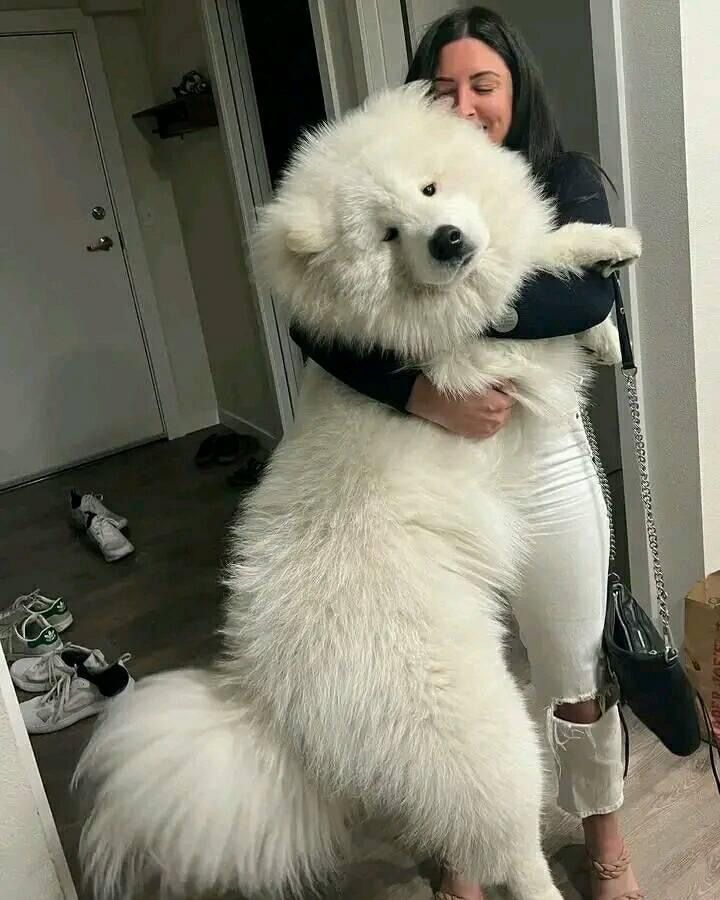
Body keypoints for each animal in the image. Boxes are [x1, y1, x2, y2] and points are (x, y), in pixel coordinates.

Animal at [76, 84, 640, 900]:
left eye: (429, 190)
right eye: (386, 234)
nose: (446, 241)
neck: (414, 321)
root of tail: (272, 701)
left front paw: (603, 303)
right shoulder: (491, 357)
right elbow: (524, 283)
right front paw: (592, 253)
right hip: (486, 735)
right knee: (509, 845)